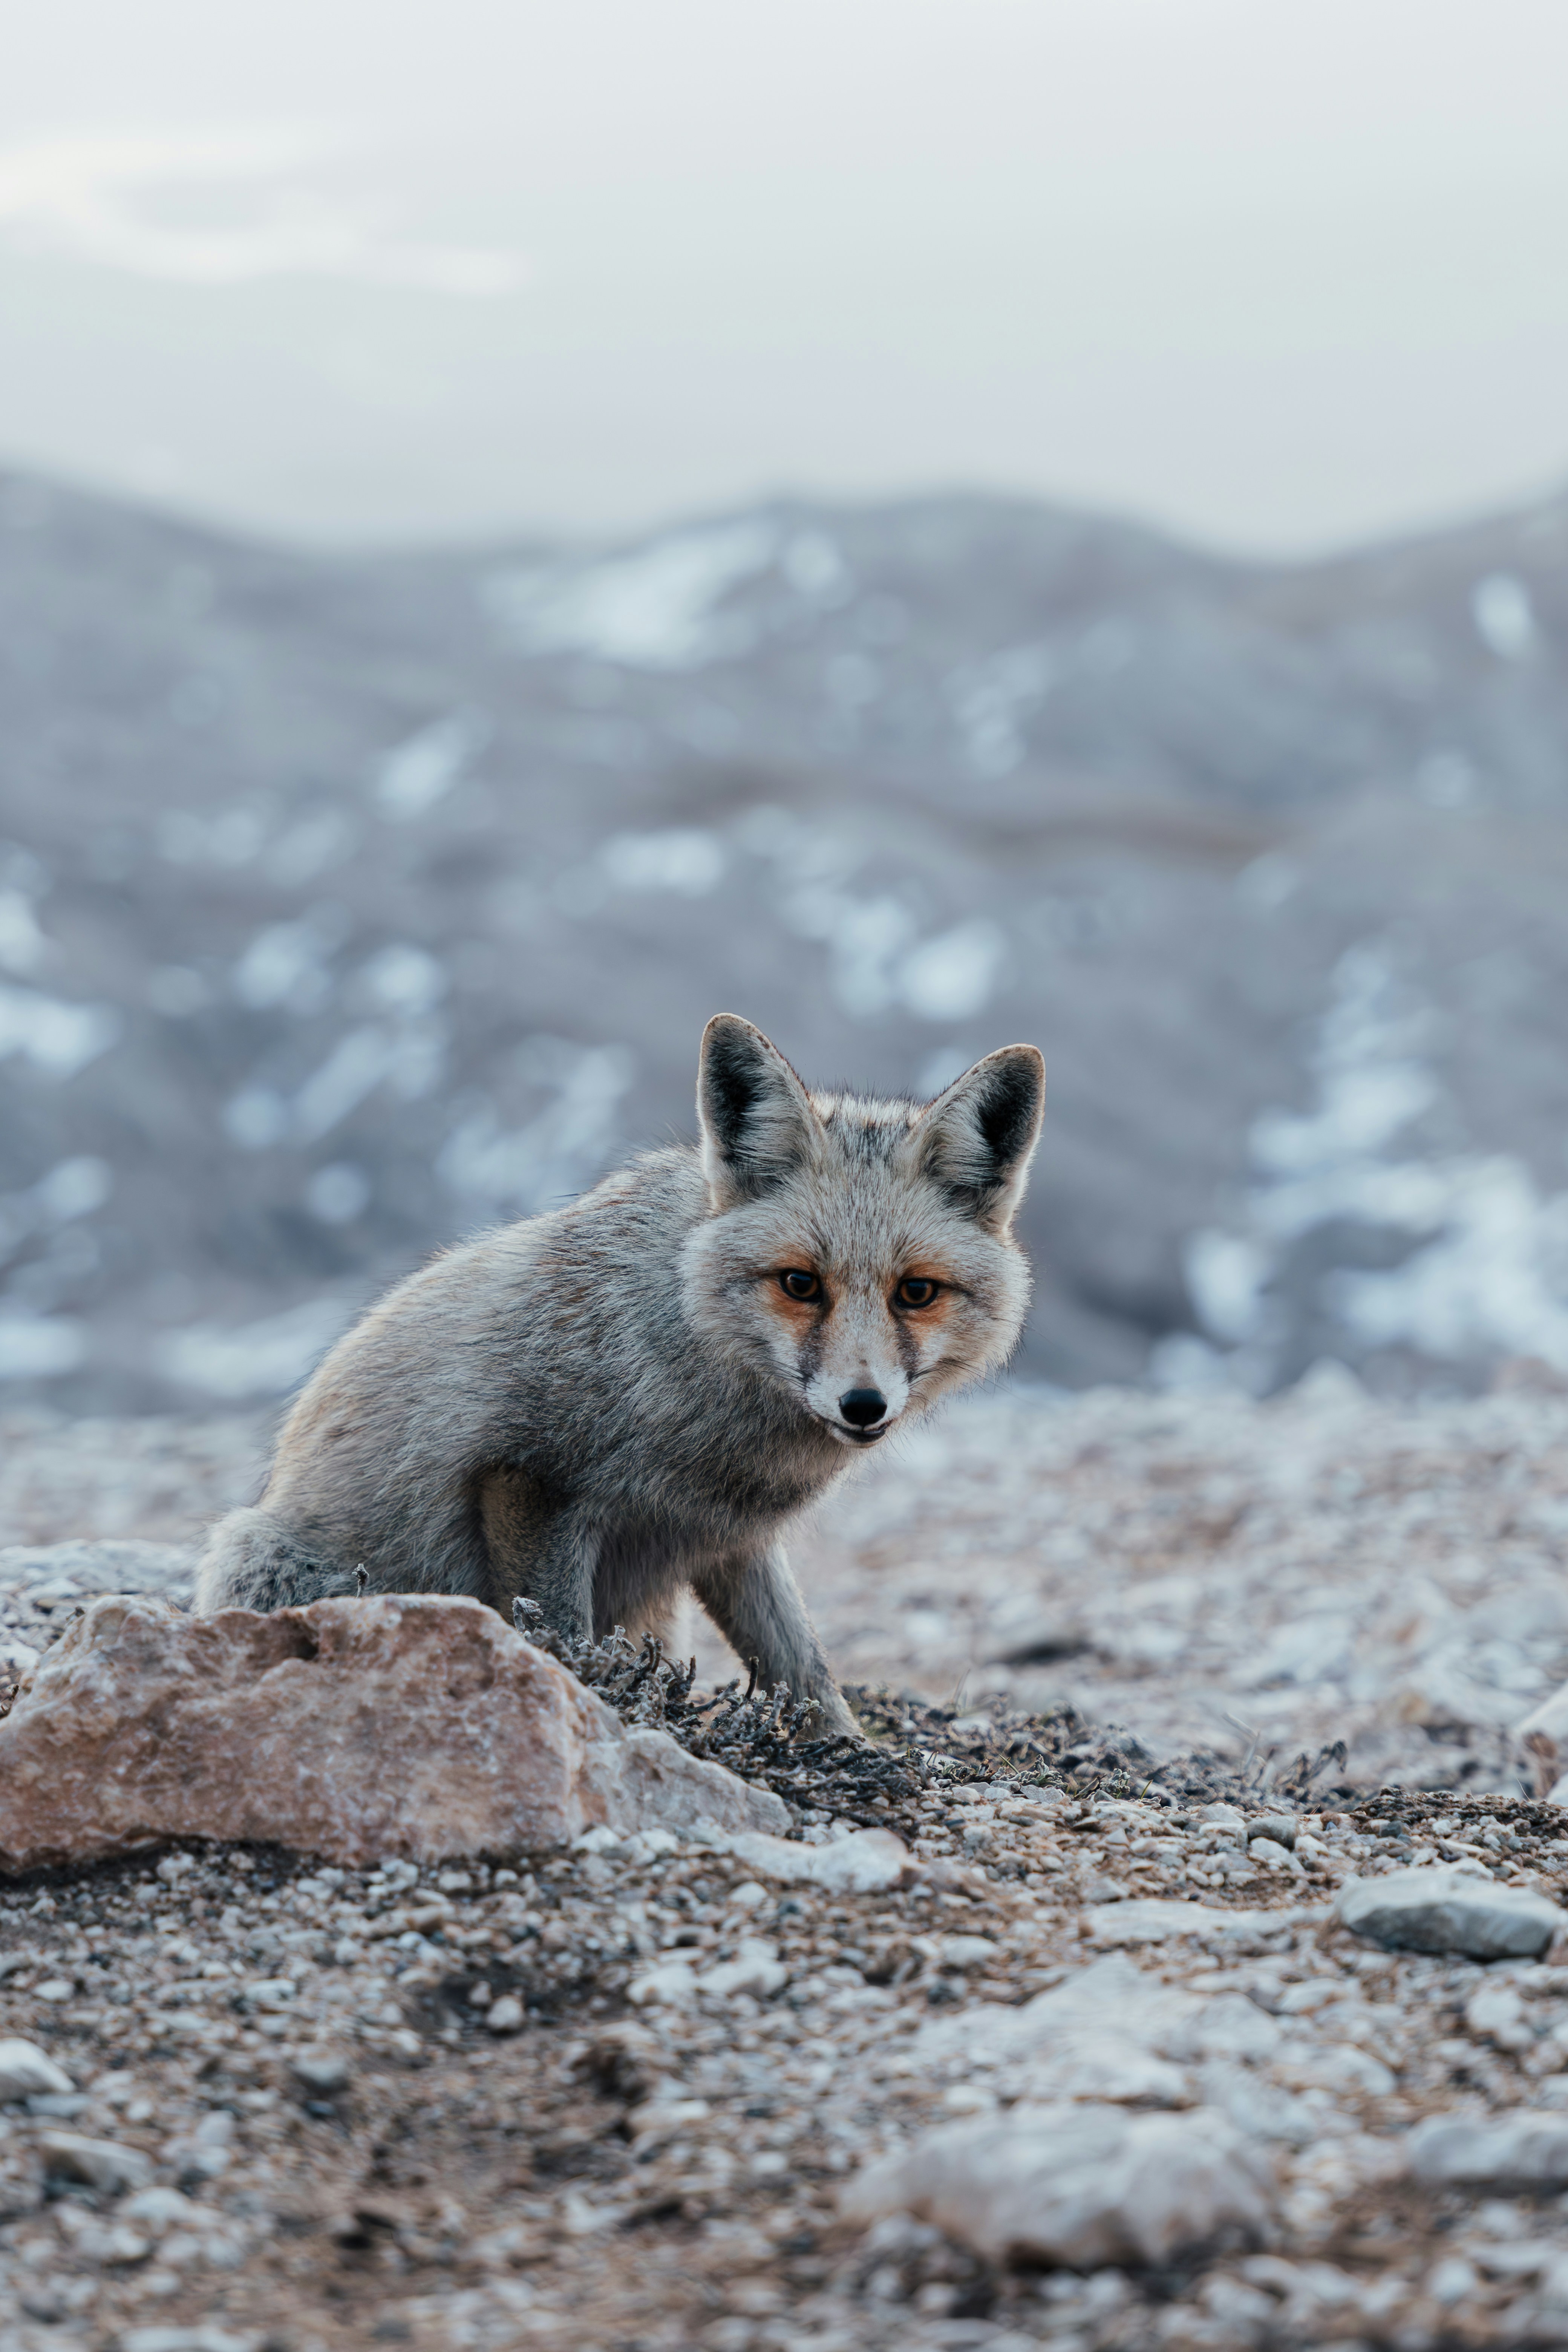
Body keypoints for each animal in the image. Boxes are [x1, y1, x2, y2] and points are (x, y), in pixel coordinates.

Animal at [194, 1014, 1045, 1739]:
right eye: (800, 1284)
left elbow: (801, 1666)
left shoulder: (731, 1538)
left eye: (917, 1293)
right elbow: (564, 1639)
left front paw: (852, 1755)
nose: (863, 1405)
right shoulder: (530, 1478)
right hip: (264, 1559)